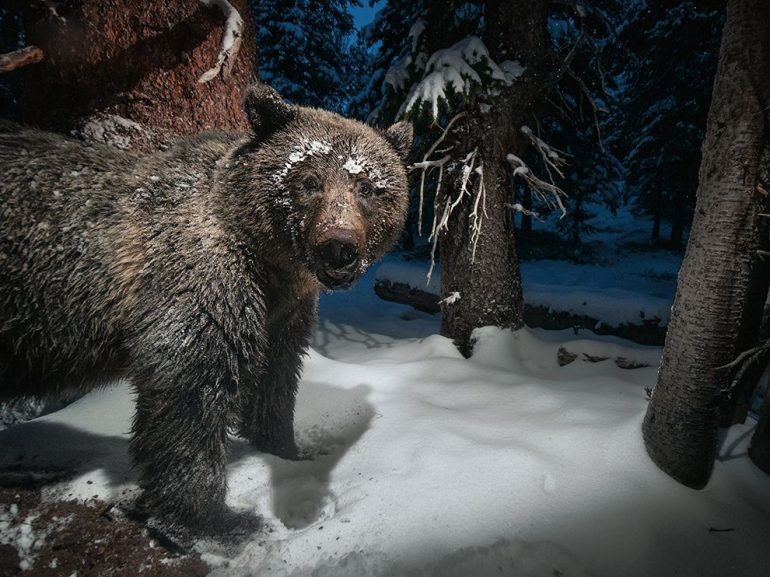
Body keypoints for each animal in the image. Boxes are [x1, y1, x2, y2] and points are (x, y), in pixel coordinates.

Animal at [0, 84, 412, 533]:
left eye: (367, 186)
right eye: (309, 180)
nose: (339, 246)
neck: (270, 261)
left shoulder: (284, 312)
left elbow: (275, 380)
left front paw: (285, 449)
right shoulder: (200, 281)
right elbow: (191, 390)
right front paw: (214, 516)